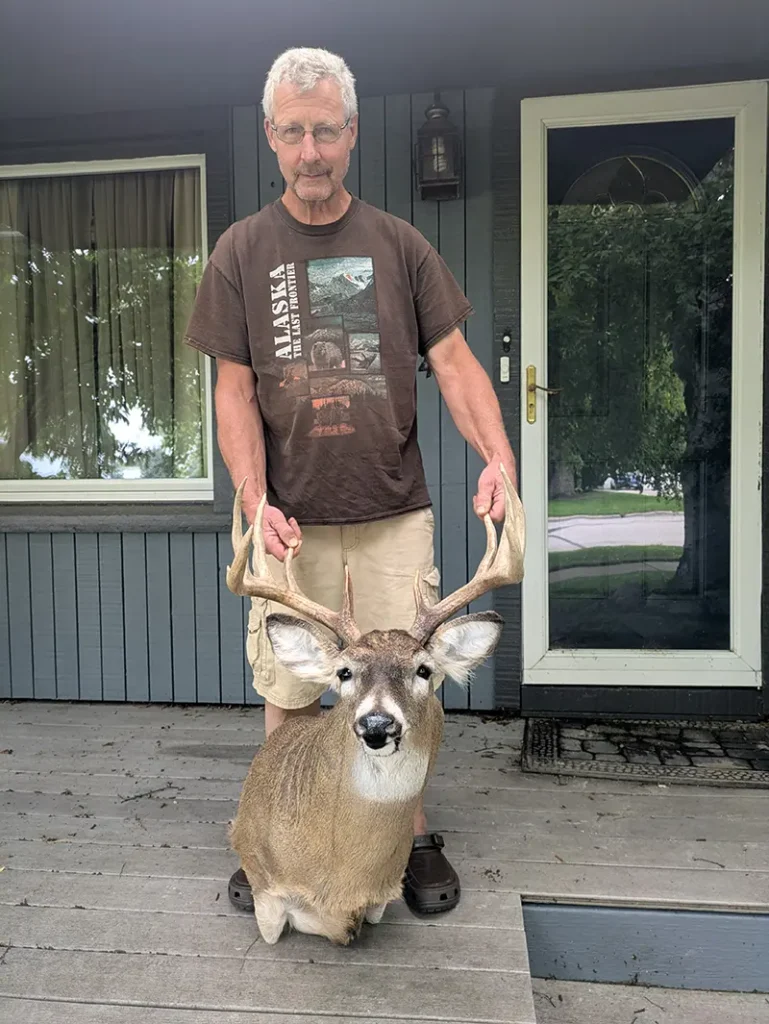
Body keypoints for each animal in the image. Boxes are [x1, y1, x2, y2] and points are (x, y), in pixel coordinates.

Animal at [225, 465, 525, 946]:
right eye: (345, 672)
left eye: (423, 670)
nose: (377, 724)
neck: (338, 882)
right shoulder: (267, 896)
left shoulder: (381, 898)